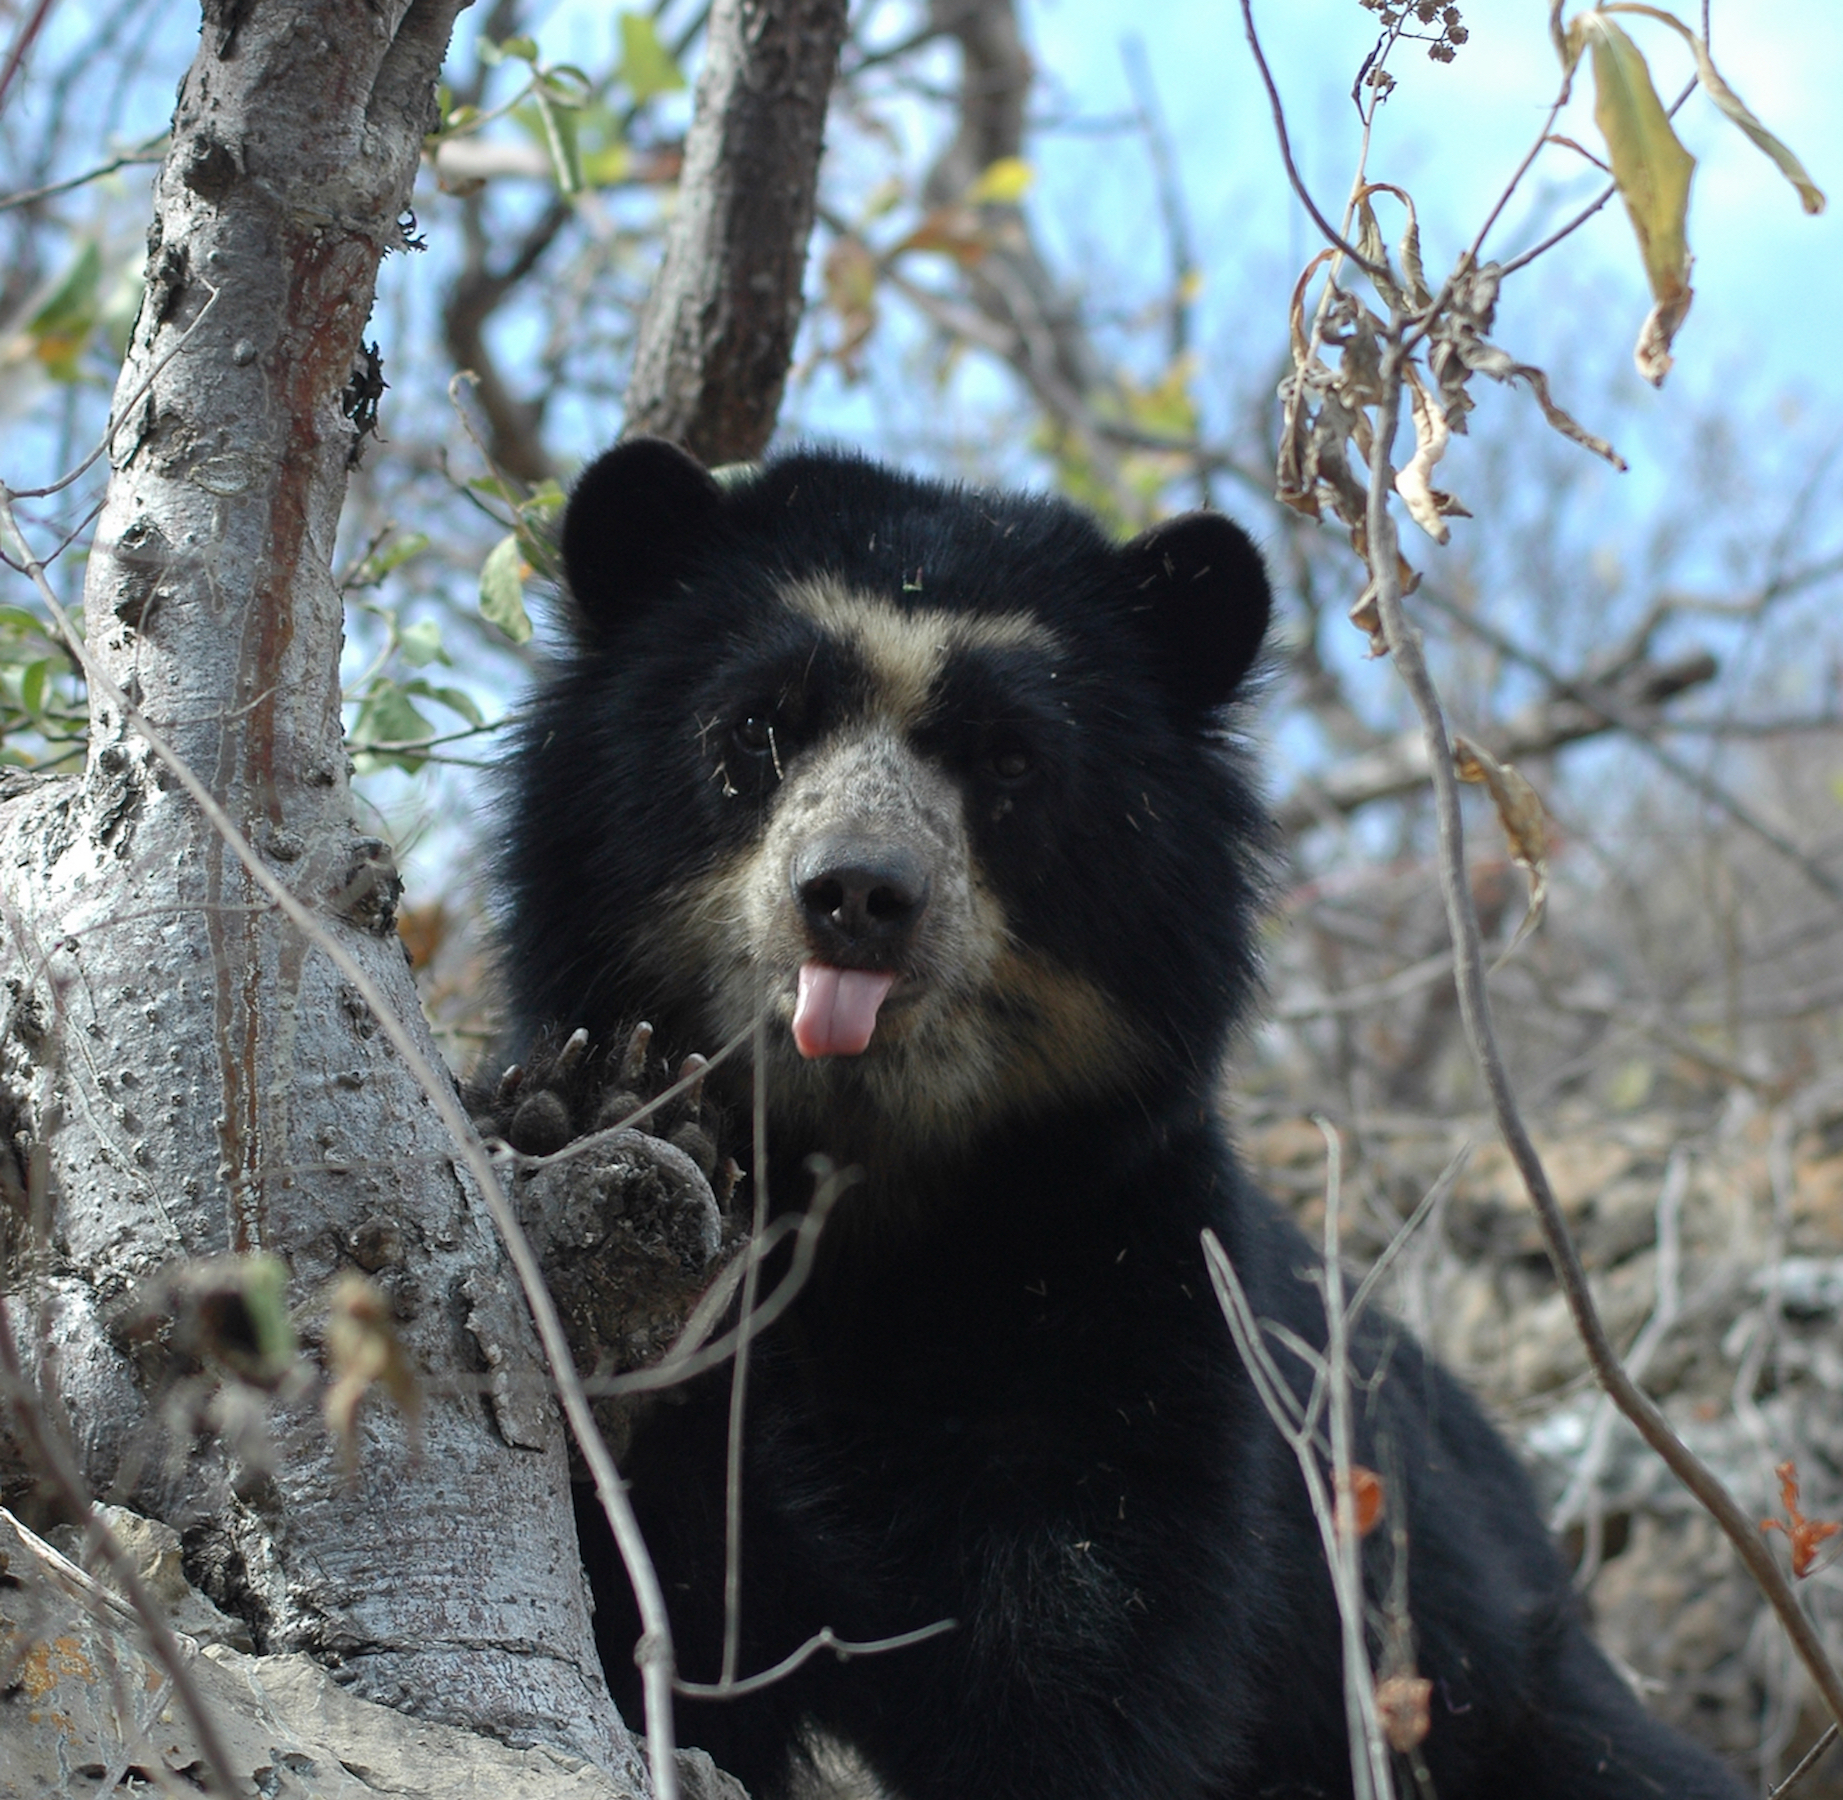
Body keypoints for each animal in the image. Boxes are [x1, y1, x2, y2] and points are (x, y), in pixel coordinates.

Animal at [501, 438, 1739, 1798]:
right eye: (758, 727)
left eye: (1007, 759)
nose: (859, 896)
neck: (874, 1164)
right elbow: (649, 1634)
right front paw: (604, 1123)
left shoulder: (1121, 1279)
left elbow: (1081, 1657)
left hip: (1496, 1680)